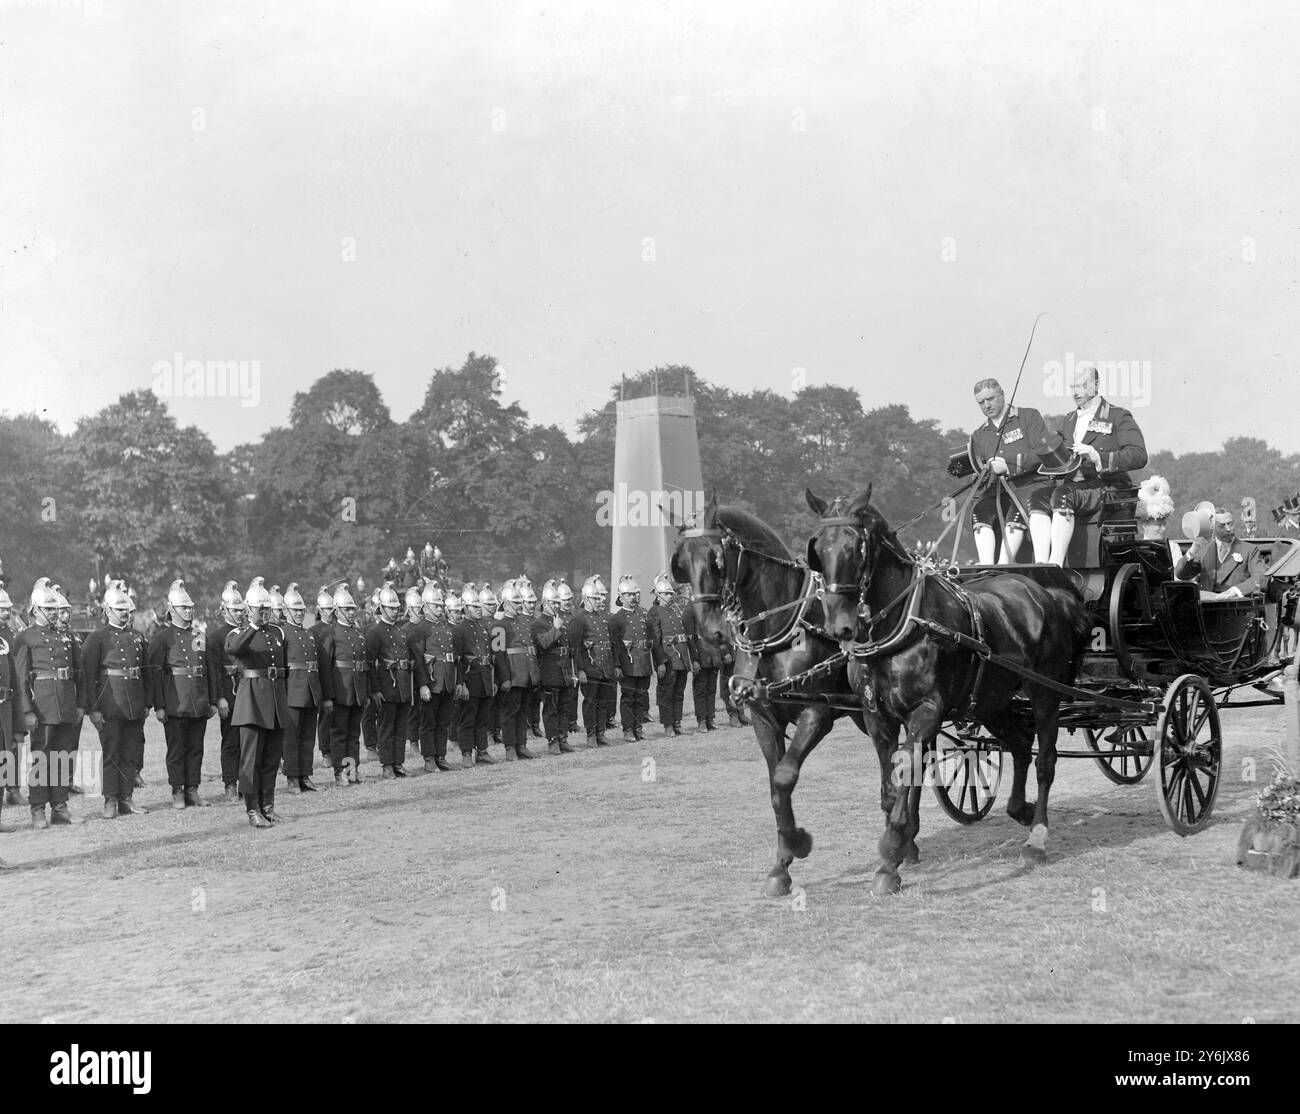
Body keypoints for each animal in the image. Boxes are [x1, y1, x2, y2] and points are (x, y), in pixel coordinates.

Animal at [676, 496, 868, 894]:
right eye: (682, 562)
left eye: (717, 559)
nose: (711, 631)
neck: (781, 631)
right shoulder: (763, 720)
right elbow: (775, 789)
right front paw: (781, 866)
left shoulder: (816, 714)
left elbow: (784, 777)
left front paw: (799, 842)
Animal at [806, 486, 1092, 894]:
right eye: (818, 547)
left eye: (856, 546)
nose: (839, 625)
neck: (901, 626)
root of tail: (1047, 593)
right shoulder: (877, 718)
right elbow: (890, 786)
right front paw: (900, 847)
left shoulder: (926, 712)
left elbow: (905, 772)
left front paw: (890, 859)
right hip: (992, 701)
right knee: (1021, 745)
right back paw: (1018, 809)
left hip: (1044, 693)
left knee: (1045, 761)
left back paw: (1036, 838)